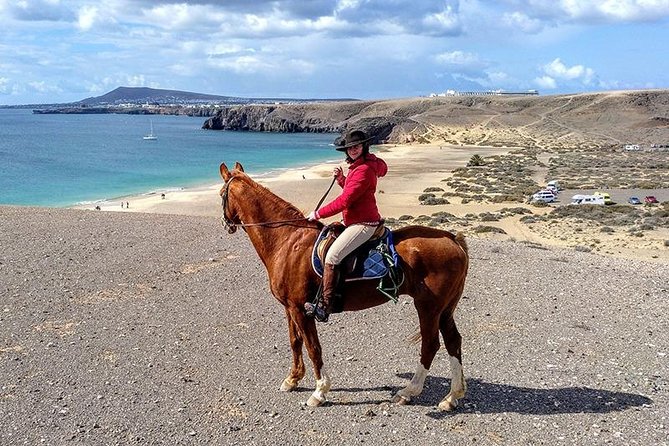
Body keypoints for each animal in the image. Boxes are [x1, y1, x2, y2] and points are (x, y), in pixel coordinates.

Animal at [219, 162, 470, 410]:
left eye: (221, 194)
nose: (226, 224)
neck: (288, 240)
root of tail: (452, 239)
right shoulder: (290, 307)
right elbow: (295, 341)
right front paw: (292, 379)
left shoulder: (301, 309)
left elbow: (313, 347)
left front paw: (320, 391)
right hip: (444, 309)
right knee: (453, 341)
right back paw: (451, 396)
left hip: (428, 307)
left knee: (430, 344)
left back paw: (409, 391)